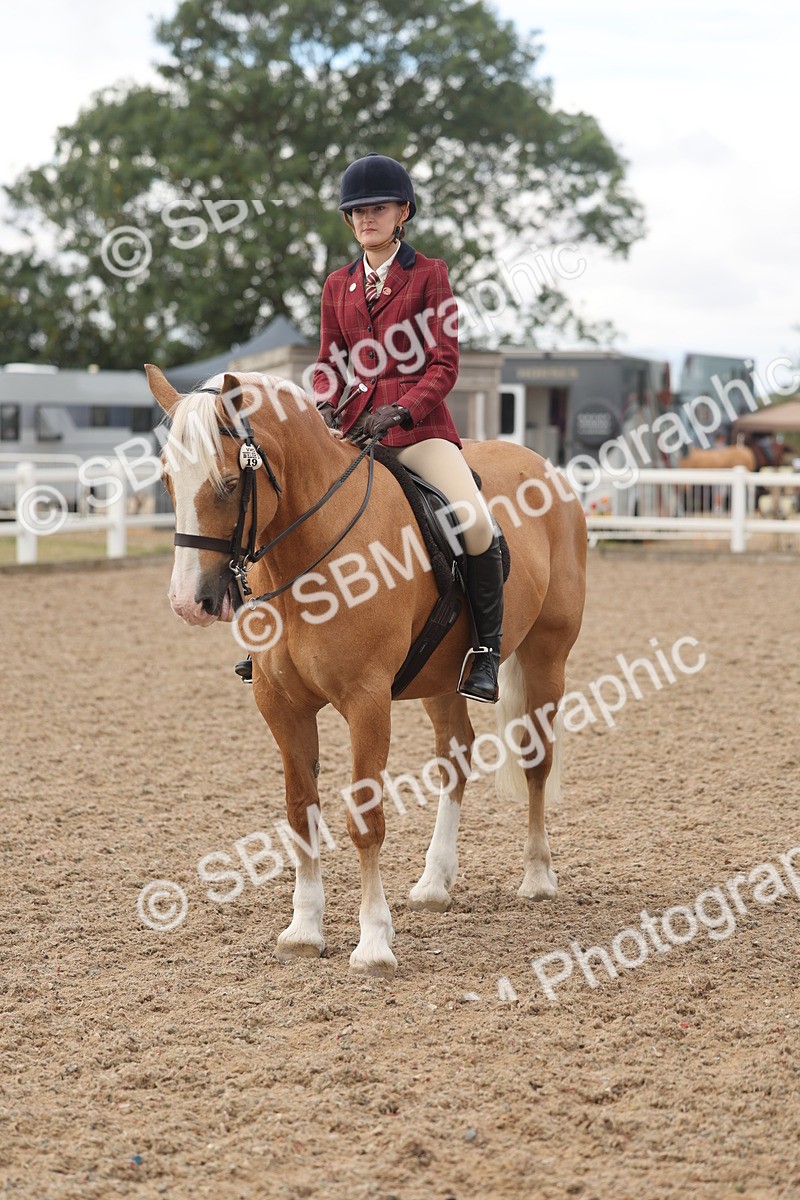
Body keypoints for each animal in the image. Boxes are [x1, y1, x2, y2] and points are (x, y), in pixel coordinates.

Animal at [145, 365, 587, 978]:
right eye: (168, 481)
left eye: (229, 483)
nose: (189, 602)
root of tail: (544, 467)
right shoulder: (280, 706)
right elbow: (300, 813)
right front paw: (304, 930)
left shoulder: (367, 702)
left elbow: (365, 819)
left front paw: (374, 942)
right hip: (440, 677)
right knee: (456, 755)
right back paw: (433, 883)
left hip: (547, 655)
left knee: (536, 759)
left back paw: (538, 875)